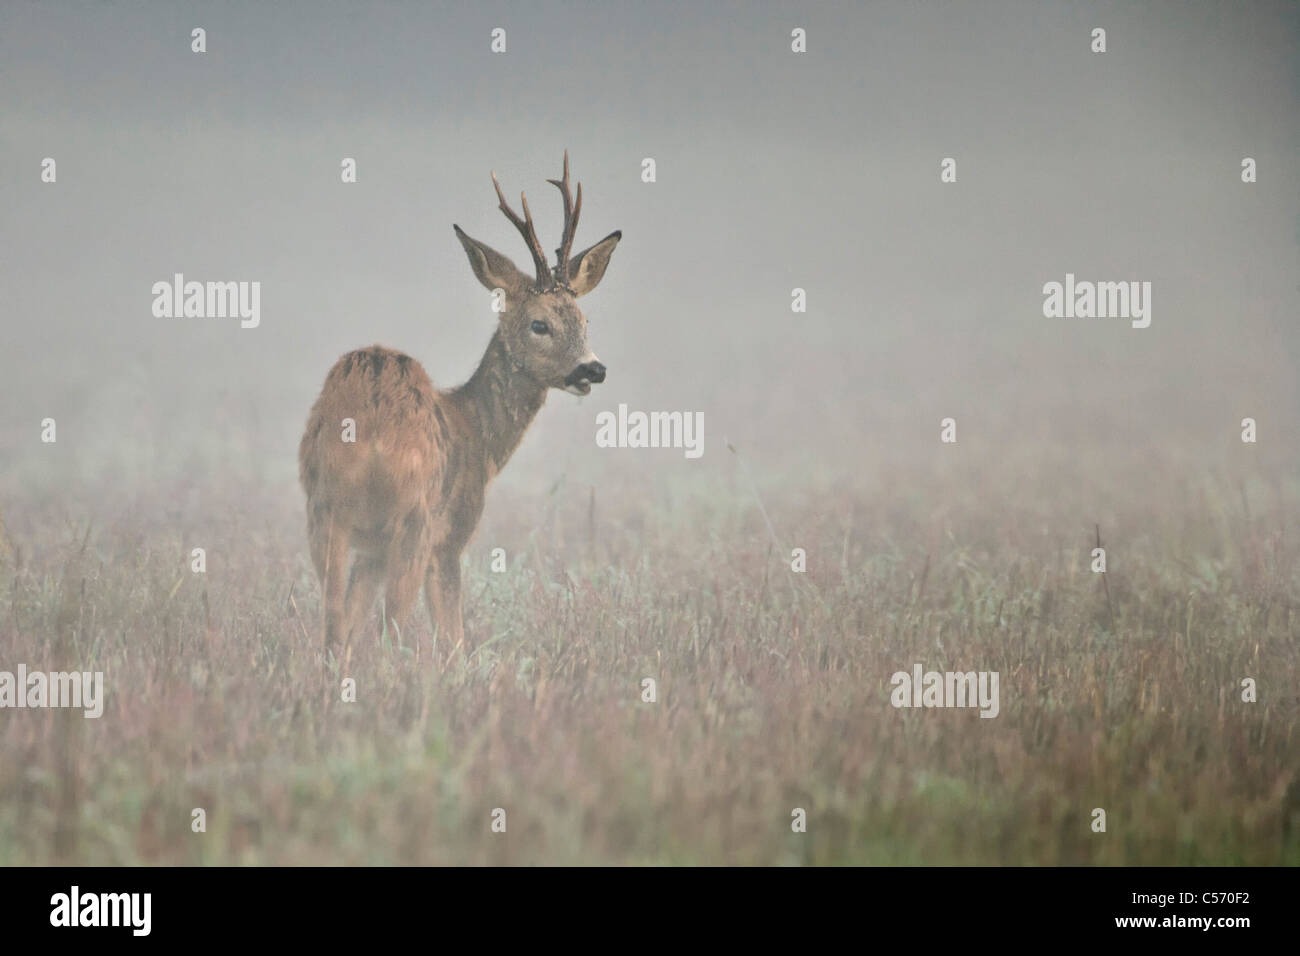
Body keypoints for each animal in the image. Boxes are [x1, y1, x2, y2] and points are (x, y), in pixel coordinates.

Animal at [298, 152, 621, 658]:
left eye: (585, 320)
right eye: (539, 324)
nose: (593, 369)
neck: (478, 436)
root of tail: (370, 421)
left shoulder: (369, 551)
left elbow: (348, 622)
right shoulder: (451, 535)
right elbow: (453, 639)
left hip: (326, 509)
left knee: (334, 621)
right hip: (415, 516)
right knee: (393, 623)